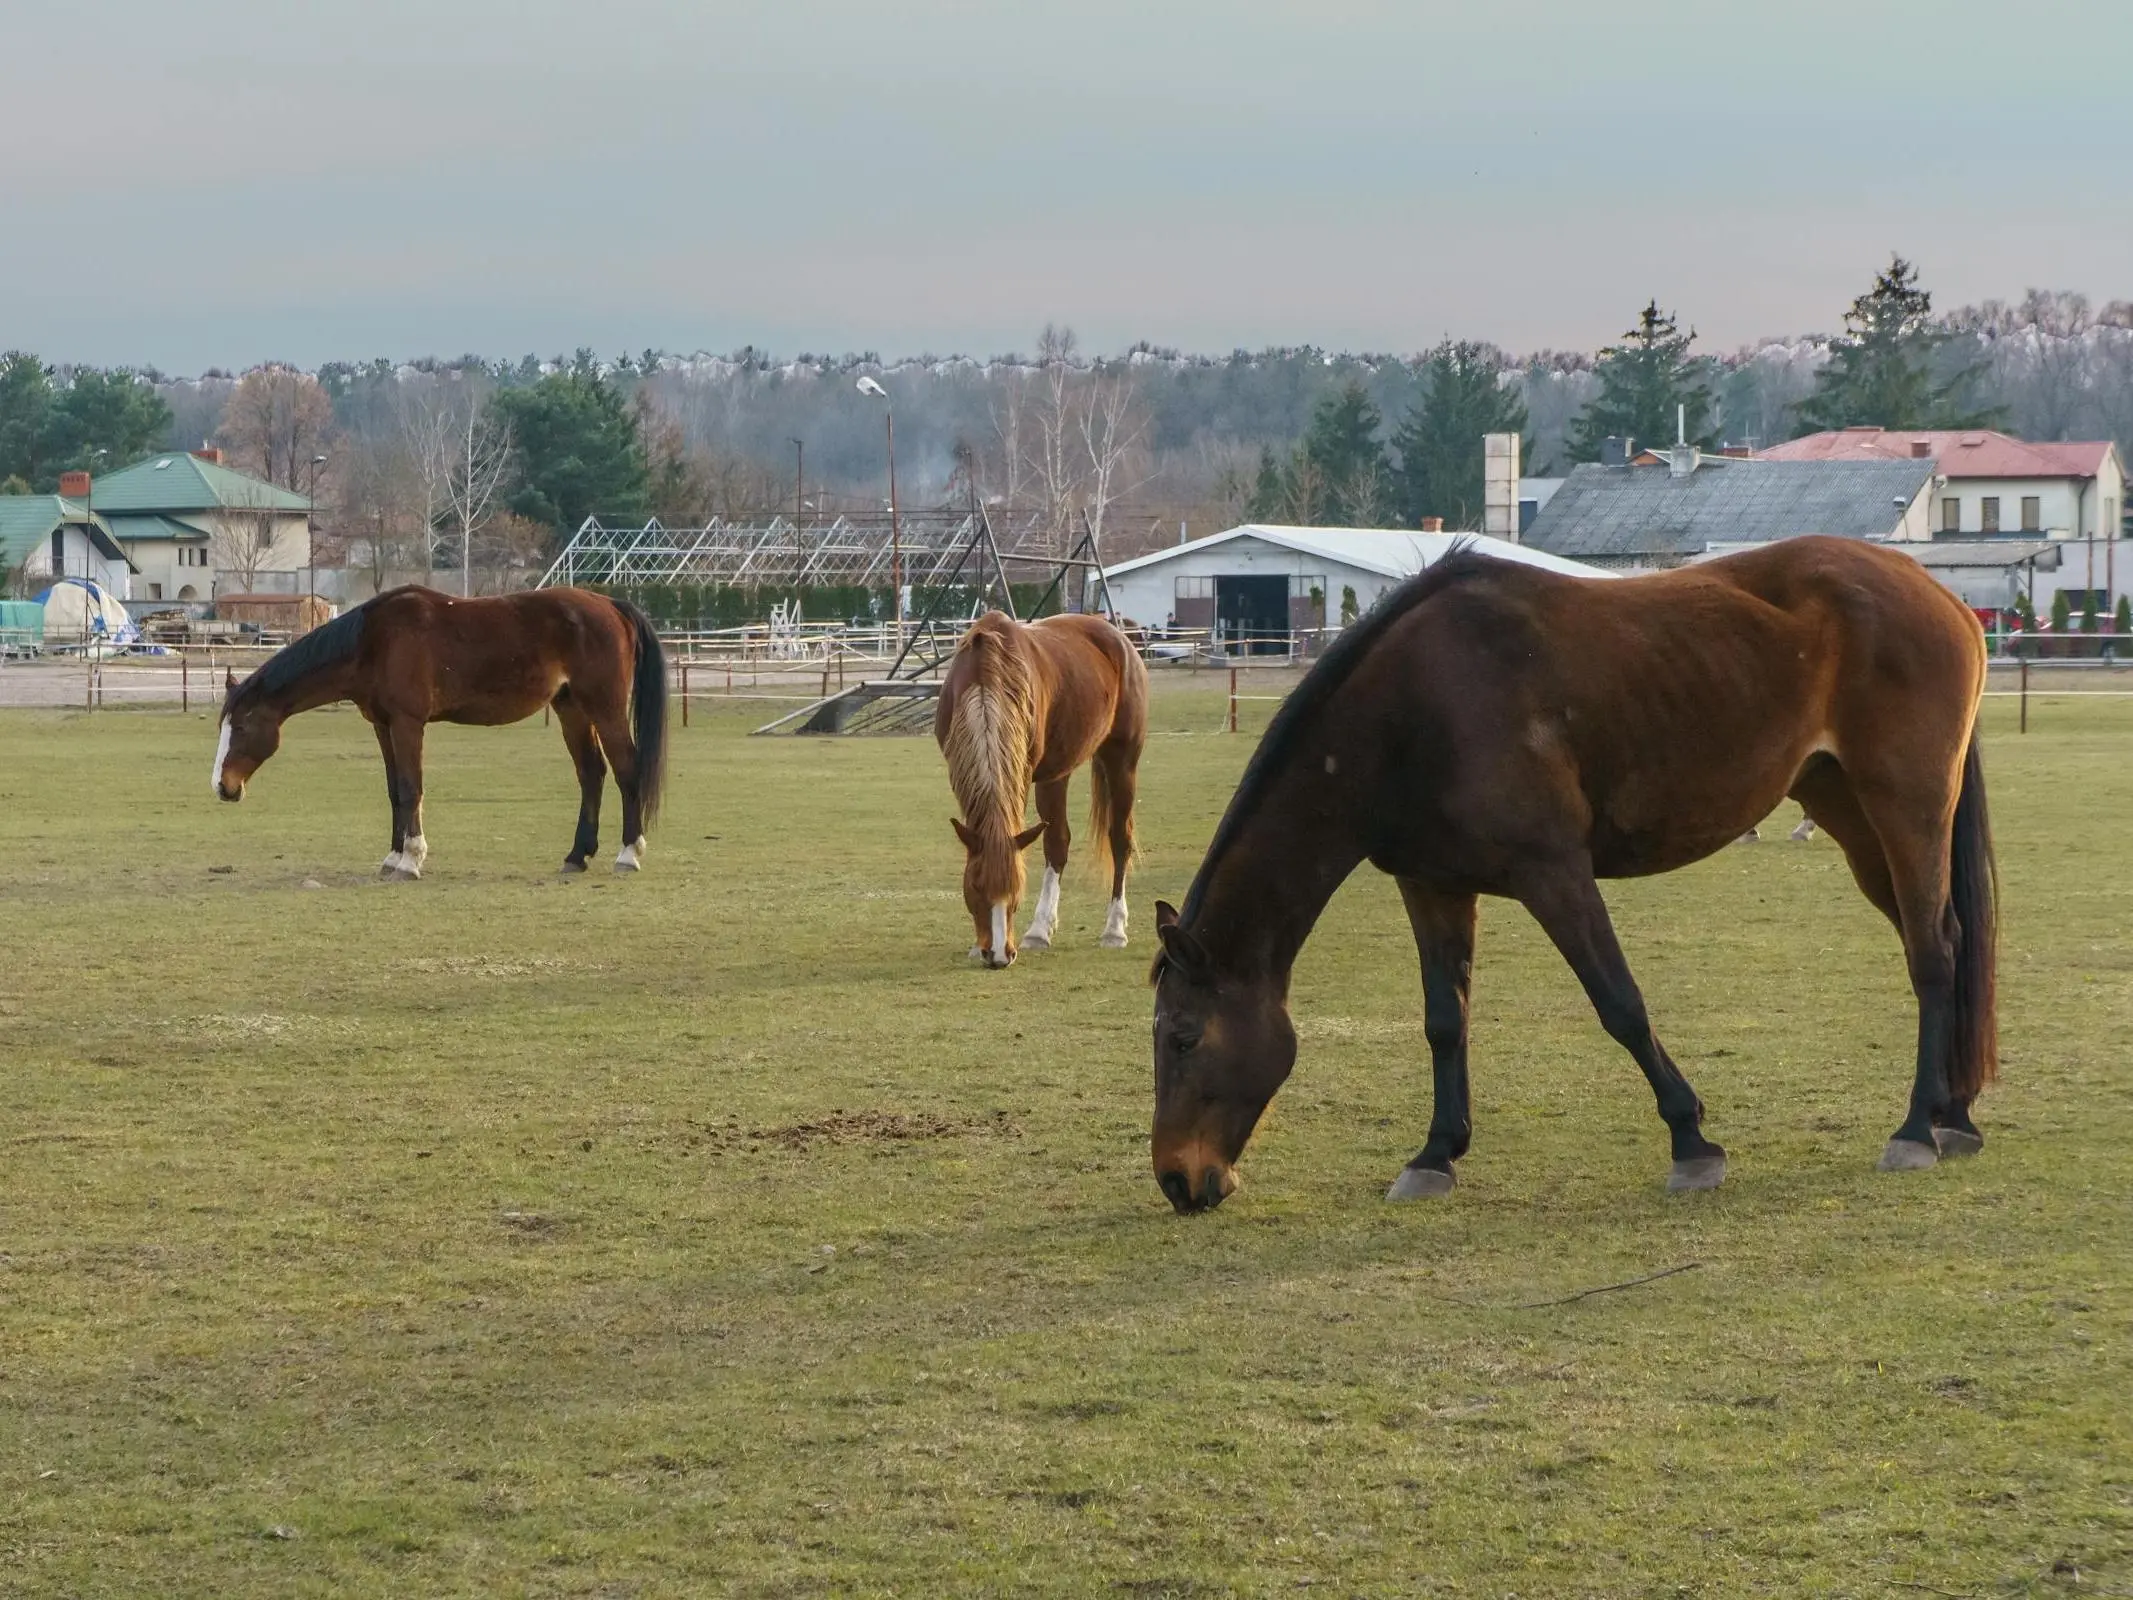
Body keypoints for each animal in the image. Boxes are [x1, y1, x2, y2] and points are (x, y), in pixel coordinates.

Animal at [215, 588, 665, 883]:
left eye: (242, 726)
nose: (223, 787)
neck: (374, 641)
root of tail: (611, 605)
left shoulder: (408, 723)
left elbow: (411, 788)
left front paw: (411, 860)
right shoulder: (383, 724)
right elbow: (395, 790)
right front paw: (393, 856)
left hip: (604, 709)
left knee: (627, 771)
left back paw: (629, 854)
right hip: (571, 708)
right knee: (591, 774)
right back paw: (577, 855)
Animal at [938, 610, 1151, 964]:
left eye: (1017, 890)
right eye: (975, 887)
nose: (999, 955)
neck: (985, 677)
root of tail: (1118, 636)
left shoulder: (1023, 773)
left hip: (1121, 761)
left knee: (1120, 839)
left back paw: (1112, 929)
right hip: (1057, 772)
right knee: (1058, 842)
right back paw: (1042, 928)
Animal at [1151, 539, 1996, 1211]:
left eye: (1182, 1038)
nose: (1176, 1180)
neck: (1414, 709)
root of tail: (1934, 592)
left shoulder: (1552, 873)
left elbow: (1619, 1004)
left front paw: (1691, 1143)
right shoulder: (1430, 884)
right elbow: (1444, 1020)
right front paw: (1434, 1155)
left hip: (1905, 807)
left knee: (1930, 953)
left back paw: (1916, 1128)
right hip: (1846, 812)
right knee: (1942, 941)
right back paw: (1953, 1114)